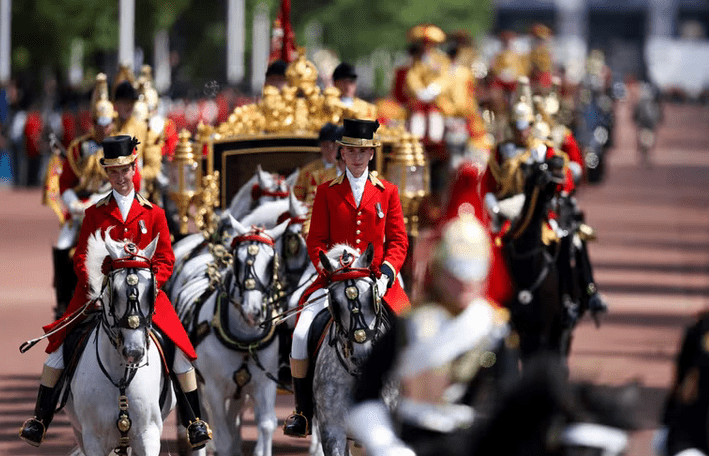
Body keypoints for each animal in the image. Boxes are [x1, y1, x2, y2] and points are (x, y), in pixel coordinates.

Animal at [63, 230, 176, 456]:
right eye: (114, 292)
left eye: (151, 291)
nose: (134, 352)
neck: (120, 377)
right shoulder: (93, 440)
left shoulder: (148, 435)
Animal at [173, 216, 290, 456]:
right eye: (238, 260)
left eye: (270, 262)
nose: (252, 312)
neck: (244, 341)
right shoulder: (214, 389)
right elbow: (221, 436)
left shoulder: (264, 384)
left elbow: (266, 424)